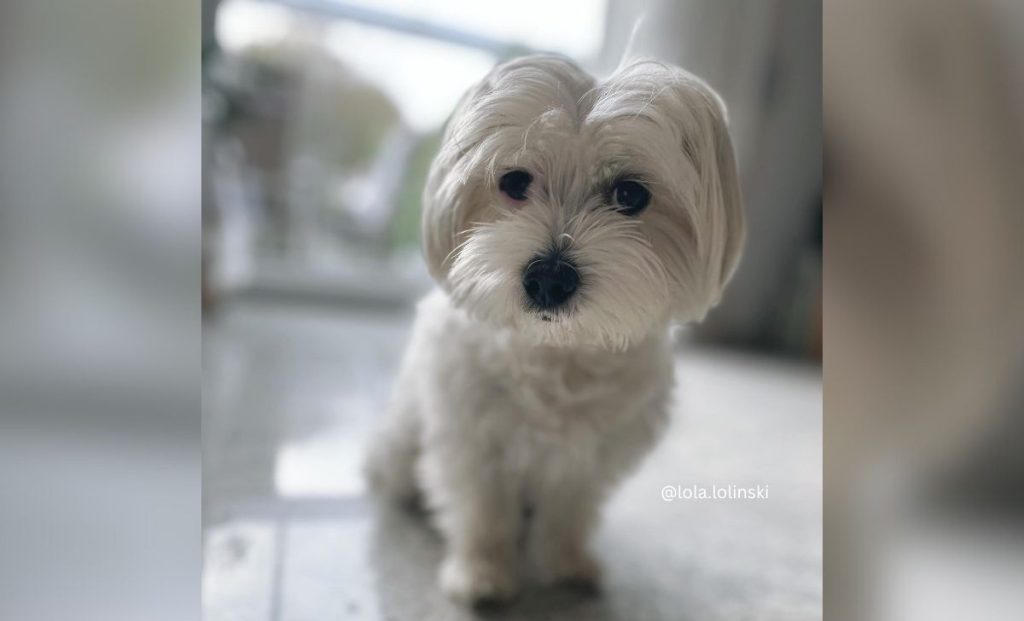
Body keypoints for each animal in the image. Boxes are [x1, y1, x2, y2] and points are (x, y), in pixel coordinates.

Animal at [368, 55, 745, 606]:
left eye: (630, 194)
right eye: (514, 181)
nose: (548, 278)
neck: (558, 351)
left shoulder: (593, 453)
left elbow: (570, 511)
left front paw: (567, 563)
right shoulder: (471, 434)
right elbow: (482, 507)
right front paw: (482, 572)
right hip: (399, 445)